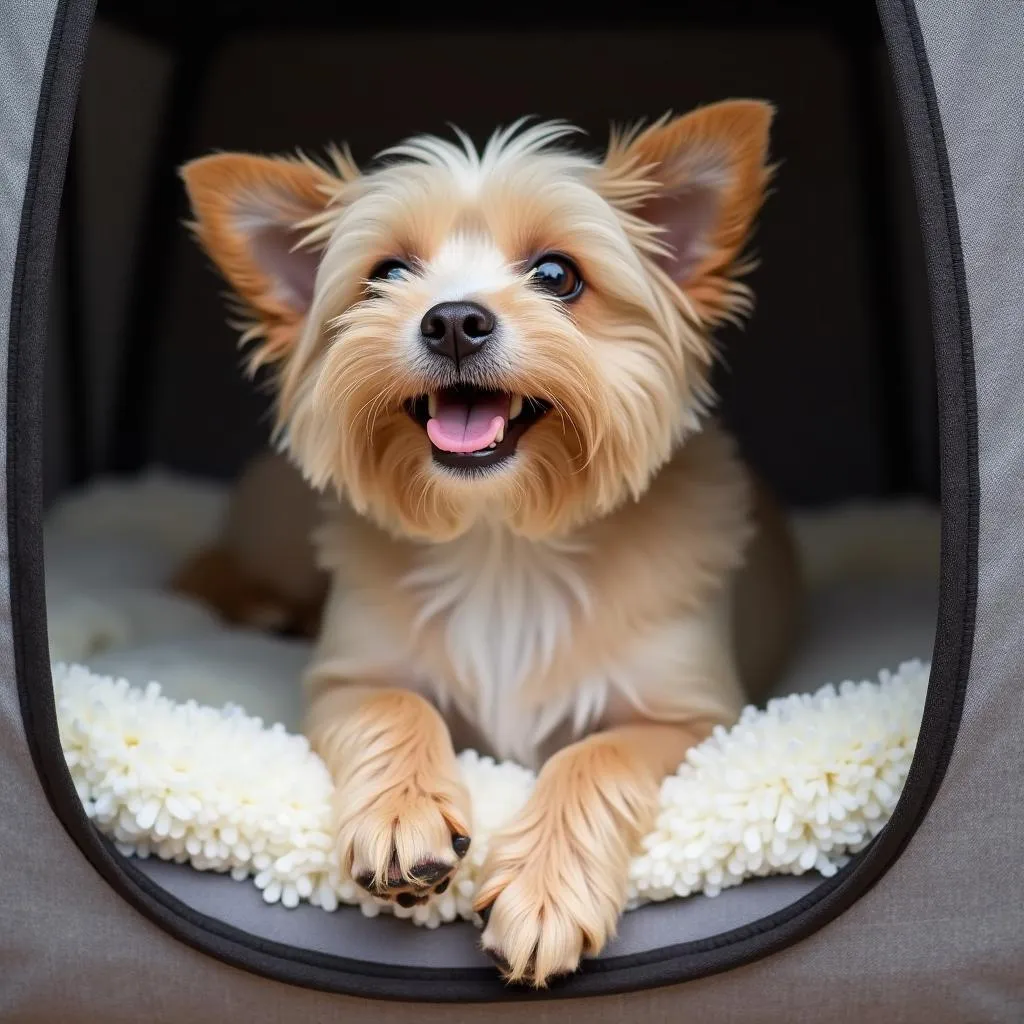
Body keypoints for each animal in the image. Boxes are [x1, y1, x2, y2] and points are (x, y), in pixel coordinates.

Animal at [174, 101, 798, 983]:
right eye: (385, 275)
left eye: (558, 276)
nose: (453, 321)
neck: (504, 539)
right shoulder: (347, 681)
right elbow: (395, 704)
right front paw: (403, 815)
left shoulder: (695, 722)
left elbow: (594, 756)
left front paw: (545, 887)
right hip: (275, 529)